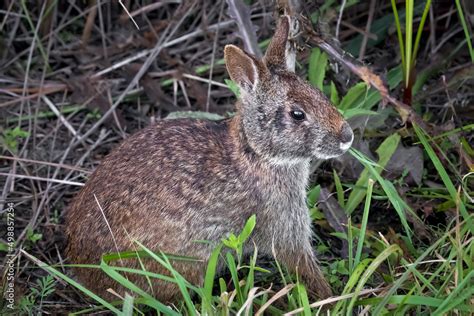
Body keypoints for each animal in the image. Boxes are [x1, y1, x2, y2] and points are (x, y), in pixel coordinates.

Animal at [66, 16, 354, 302]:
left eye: (318, 92)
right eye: (297, 114)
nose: (347, 136)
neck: (256, 153)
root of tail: (84, 270)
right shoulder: (281, 221)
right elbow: (300, 263)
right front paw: (330, 297)